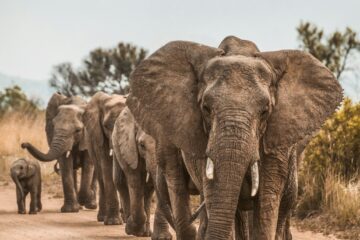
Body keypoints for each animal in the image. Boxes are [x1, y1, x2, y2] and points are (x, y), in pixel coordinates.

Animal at [82, 92, 127, 225]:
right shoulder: (99, 136)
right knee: (101, 177)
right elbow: (107, 167)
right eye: (106, 126)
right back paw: (103, 218)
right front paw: (113, 222)